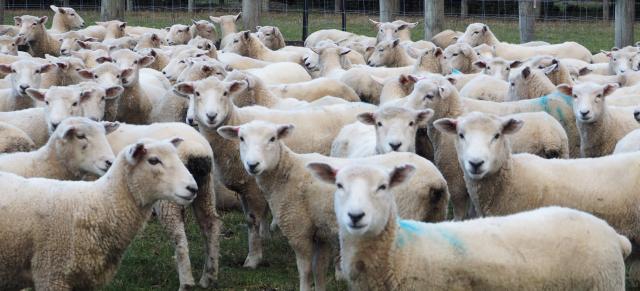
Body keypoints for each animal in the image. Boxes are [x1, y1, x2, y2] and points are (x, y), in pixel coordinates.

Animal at [105, 122, 222, 288]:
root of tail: (195, 150)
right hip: (205, 186)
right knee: (211, 224)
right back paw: (208, 277)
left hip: (170, 199)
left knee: (179, 237)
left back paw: (186, 282)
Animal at [220, 121, 450, 291]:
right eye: (241, 138)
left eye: (272, 138)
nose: (253, 165)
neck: (286, 172)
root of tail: (435, 181)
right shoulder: (320, 233)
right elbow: (319, 270)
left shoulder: (298, 229)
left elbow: (305, 270)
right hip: (436, 217)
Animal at [308, 162, 632, 291]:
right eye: (339, 185)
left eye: (383, 186)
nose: (356, 216)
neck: (400, 255)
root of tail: (613, 236)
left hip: (604, 283)